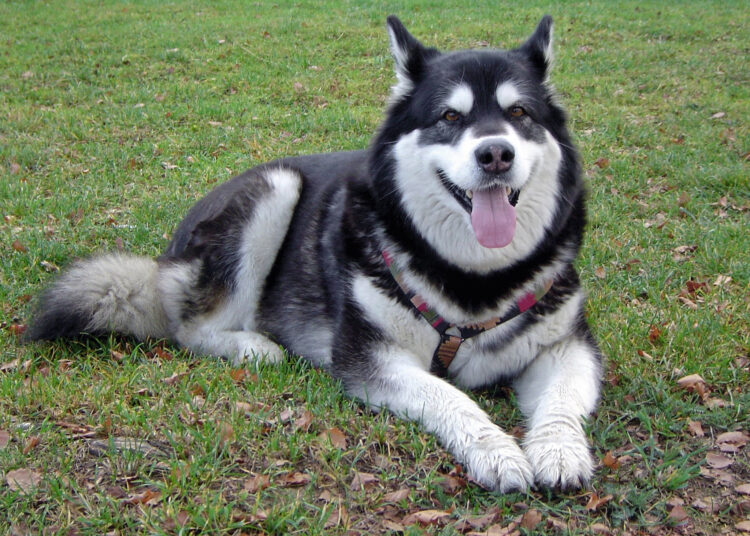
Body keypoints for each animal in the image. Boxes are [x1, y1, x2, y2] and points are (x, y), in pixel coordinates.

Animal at [25, 15, 604, 494]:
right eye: (448, 117)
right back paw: (252, 346)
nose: (495, 153)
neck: (474, 276)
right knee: (190, 327)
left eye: (519, 112)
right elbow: (451, 397)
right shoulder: (370, 357)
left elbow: (563, 400)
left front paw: (558, 452)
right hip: (274, 188)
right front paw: (497, 452)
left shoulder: (566, 344)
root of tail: (167, 254)